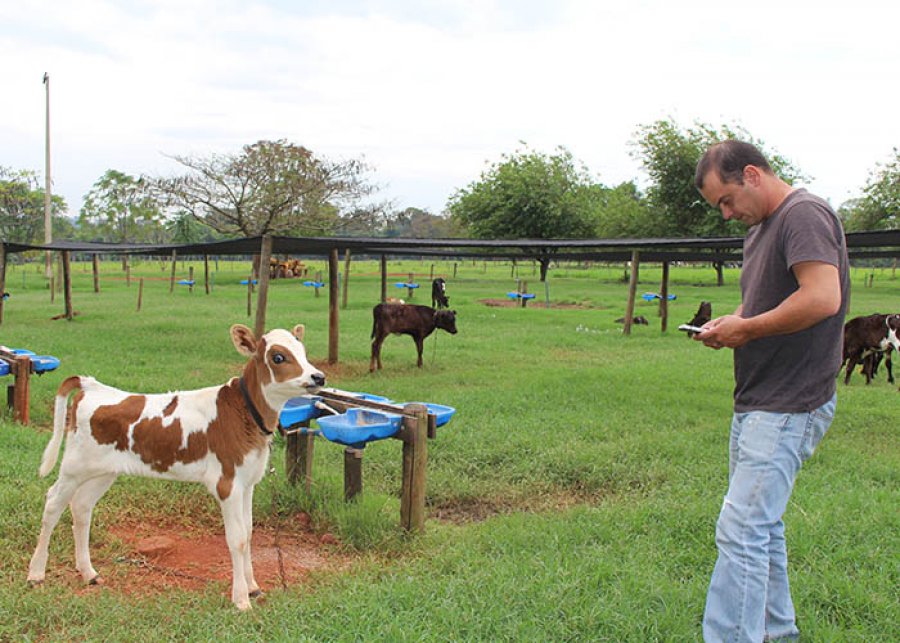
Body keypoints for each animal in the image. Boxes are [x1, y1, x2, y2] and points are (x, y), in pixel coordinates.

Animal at [26, 324, 326, 612]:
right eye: (278, 357)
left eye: (302, 350)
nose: (318, 377)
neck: (243, 414)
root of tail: (92, 386)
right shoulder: (227, 483)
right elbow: (237, 538)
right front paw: (241, 599)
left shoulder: (248, 481)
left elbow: (249, 533)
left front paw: (252, 586)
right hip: (74, 466)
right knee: (53, 503)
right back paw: (36, 574)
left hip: (102, 471)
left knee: (81, 506)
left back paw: (88, 572)